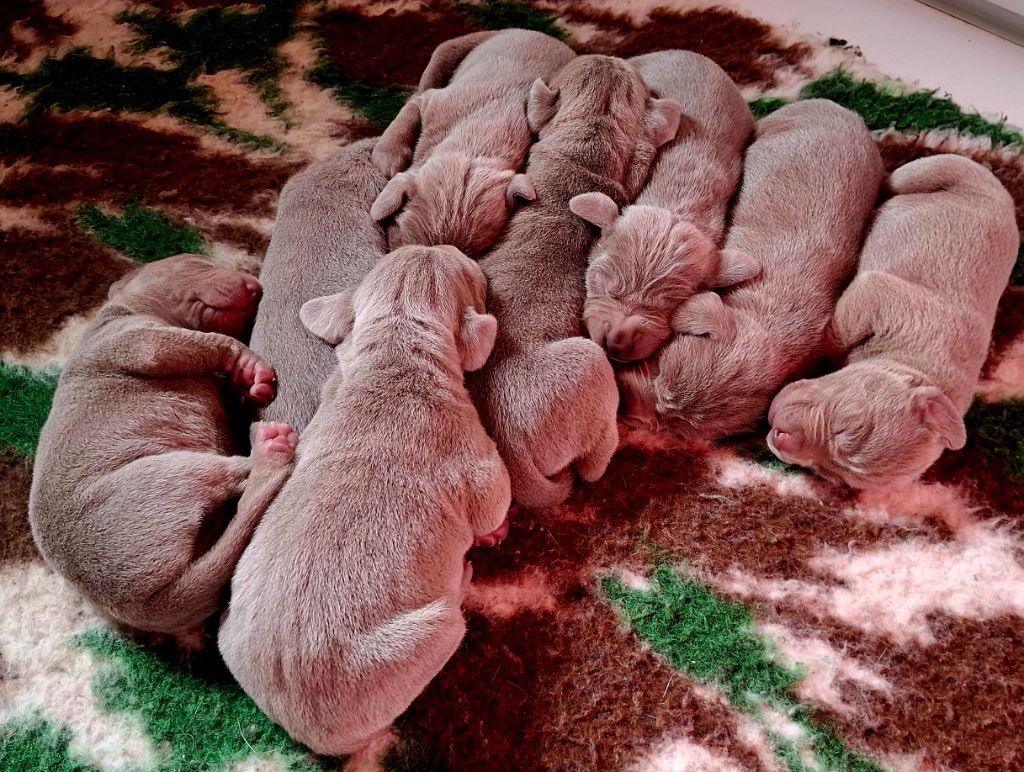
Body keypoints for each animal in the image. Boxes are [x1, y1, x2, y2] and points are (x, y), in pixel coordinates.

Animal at [29, 254, 295, 637]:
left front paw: (248, 382)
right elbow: (199, 343)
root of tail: (145, 605)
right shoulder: (127, 337)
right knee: (242, 481)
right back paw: (269, 452)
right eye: (197, 262)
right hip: (164, 475)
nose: (254, 287)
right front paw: (249, 362)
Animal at [218, 245, 511, 757]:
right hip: (432, 633)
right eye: (470, 274)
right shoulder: (475, 458)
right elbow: (494, 502)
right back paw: (464, 578)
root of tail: (302, 727)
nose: (441, 244)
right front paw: (495, 531)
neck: (397, 349)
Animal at [767, 154, 1019, 487]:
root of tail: (1000, 189)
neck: (909, 363)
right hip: (939, 171)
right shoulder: (878, 296)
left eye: (825, 472)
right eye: (845, 427)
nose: (779, 436)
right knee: (900, 178)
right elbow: (838, 334)